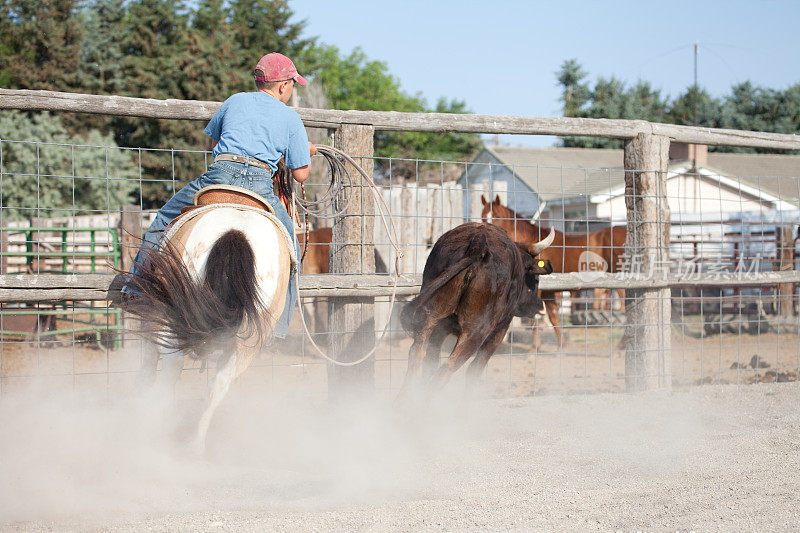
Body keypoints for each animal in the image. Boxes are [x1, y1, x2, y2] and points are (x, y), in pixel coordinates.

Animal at [123, 185, 298, 450]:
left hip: (171, 317)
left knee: (171, 372)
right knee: (219, 385)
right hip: (248, 340)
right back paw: (195, 445)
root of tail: (236, 232)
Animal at [482, 195, 624, 350]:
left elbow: (536, 318)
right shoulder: (548, 293)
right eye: (483, 217)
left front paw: (534, 349)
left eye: (497, 216)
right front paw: (561, 347)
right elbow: (553, 317)